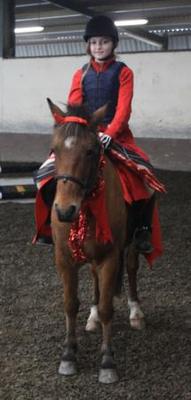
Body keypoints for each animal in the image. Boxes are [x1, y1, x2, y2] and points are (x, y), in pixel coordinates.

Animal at [47, 98, 145, 382]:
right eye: (54, 149)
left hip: (132, 243)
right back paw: (91, 319)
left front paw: (107, 362)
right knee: (94, 278)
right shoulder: (64, 259)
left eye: (91, 151)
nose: (65, 210)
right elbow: (70, 304)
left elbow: (106, 308)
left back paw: (136, 312)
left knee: (132, 267)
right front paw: (68, 355)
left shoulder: (110, 257)